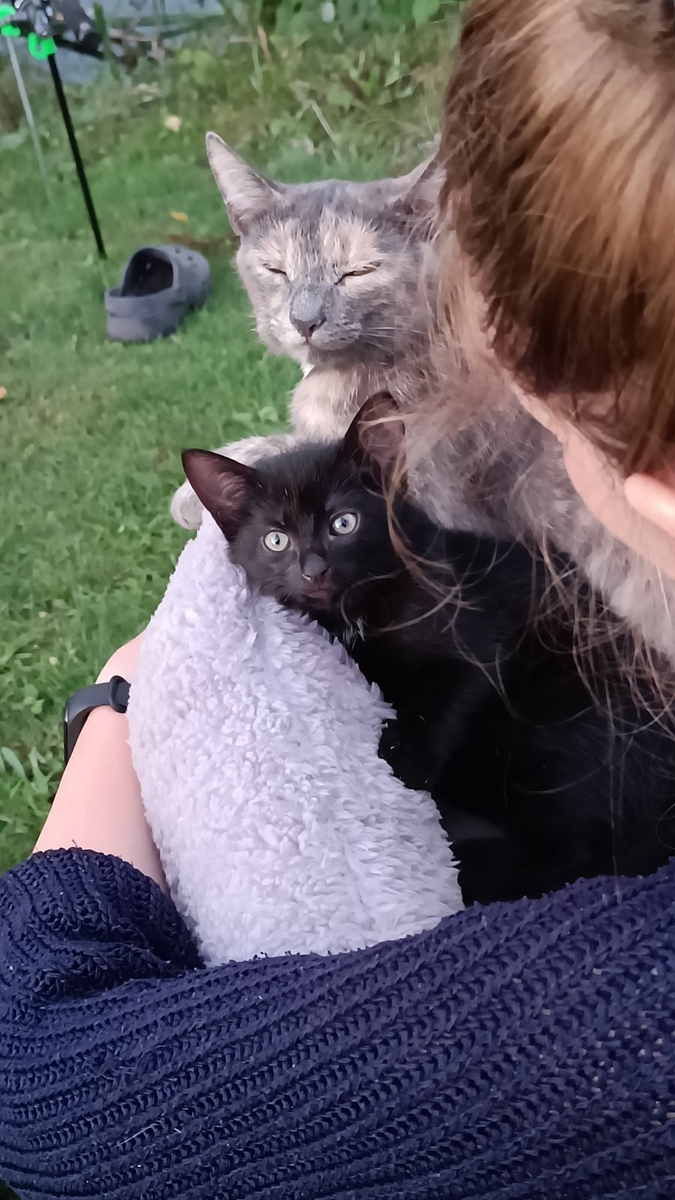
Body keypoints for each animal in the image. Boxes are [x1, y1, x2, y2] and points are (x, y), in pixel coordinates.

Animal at [182, 394, 675, 905]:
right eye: (275, 540)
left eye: (344, 523)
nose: (314, 569)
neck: (353, 615)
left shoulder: (478, 632)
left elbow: (452, 689)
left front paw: (407, 758)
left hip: (545, 726)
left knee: (579, 857)